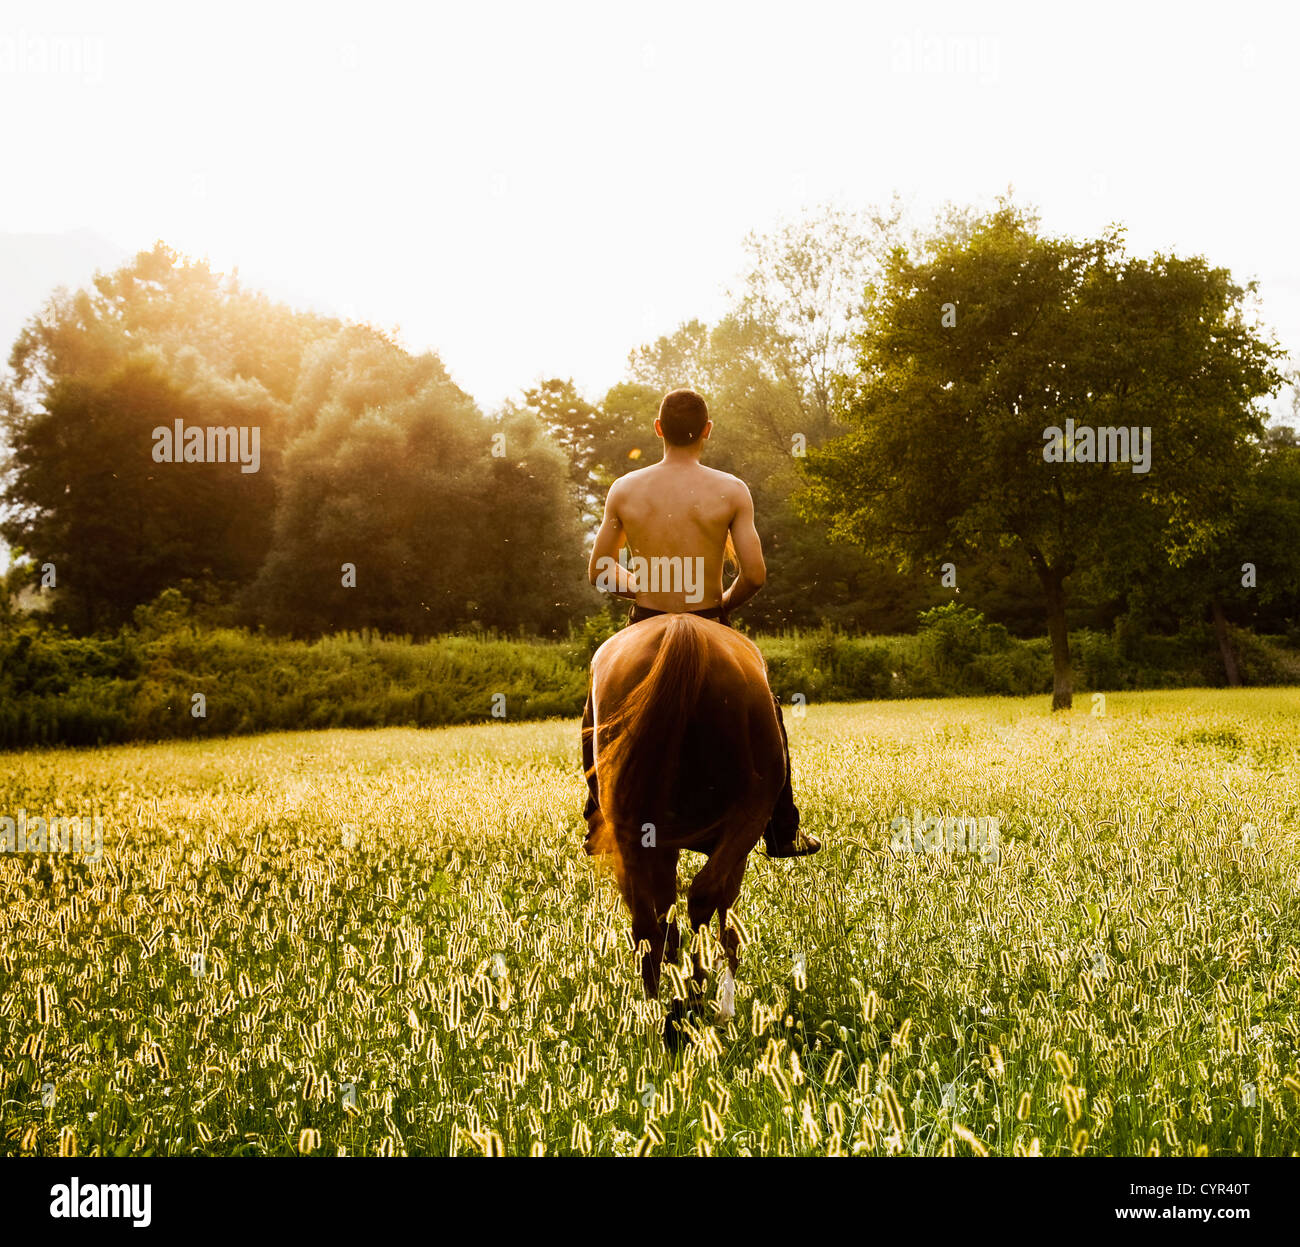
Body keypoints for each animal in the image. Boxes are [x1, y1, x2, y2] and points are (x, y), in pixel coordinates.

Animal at [587, 611, 780, 1045]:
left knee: (646, 920)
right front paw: (721, 1008)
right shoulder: (738, 843)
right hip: (748, 814)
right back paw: (690, 1003)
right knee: (702, 900)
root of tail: (681, 629)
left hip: (631, 830)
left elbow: (666, 916)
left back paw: (660, 1015)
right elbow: (726, 923)